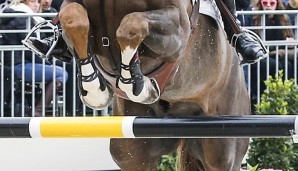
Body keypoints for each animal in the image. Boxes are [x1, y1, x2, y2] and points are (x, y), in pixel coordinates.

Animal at [37, 0, 250, 170]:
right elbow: (73, 18)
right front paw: (94, 89)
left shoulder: (176, 30)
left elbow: (131, 26)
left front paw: (135, 83)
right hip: (135, 151)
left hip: (221, 147)